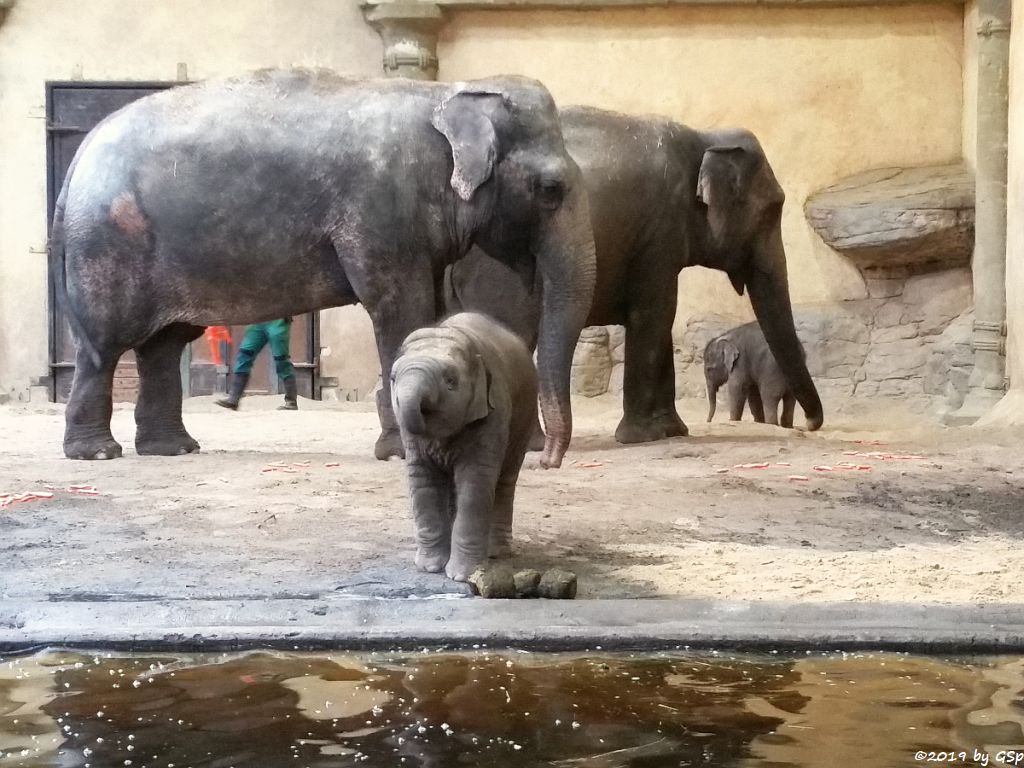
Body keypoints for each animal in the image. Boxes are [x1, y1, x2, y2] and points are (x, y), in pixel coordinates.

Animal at [51, 70, 598, 468]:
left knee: (163, 346)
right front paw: (403, 453)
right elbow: (401, 309)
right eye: (550, 190)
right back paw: (98, 454)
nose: (545, 462)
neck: (446, 93)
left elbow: (431, 309)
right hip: (106, 244)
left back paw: (173, 450)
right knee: (104, 346)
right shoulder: (380, 212)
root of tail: (80, 154)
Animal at [389, 313, 536, 581]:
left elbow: (475, 485)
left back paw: (497, 552)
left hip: (525, 419)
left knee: (505, 481)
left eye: (450, 381)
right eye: (393, 379)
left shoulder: (494, 413)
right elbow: (423, 480)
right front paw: (429, 568)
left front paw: (462, 575)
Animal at [446, 108, 823, 444]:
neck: (703, 136)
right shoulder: (658, 229)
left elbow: (661, 320)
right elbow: (655, 314)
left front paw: (673, 432)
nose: (808, 425)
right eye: (772, 211)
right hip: (498, 268)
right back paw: (529, 445)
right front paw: (643, 437)